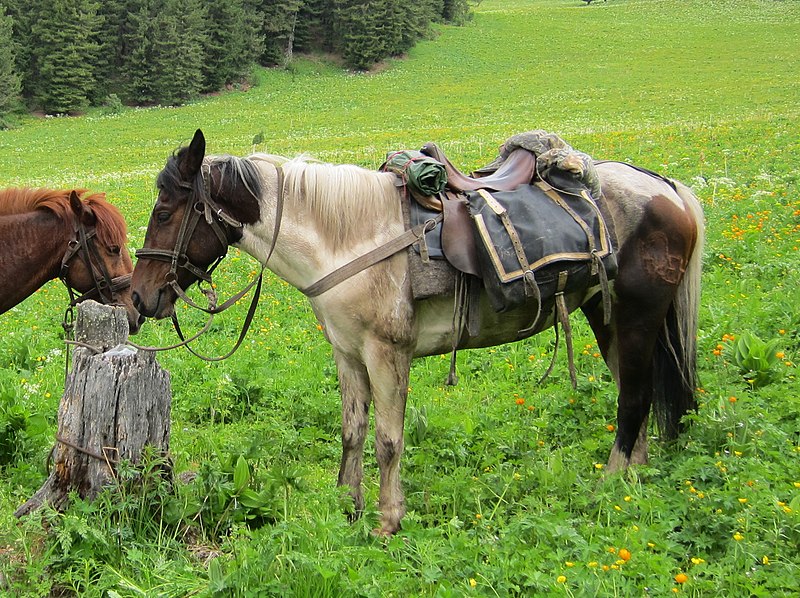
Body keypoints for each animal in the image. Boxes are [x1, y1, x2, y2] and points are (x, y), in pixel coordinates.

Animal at [130, 130, 700, 536]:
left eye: (165, 211)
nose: (138, 297)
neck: (350, 237)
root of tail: (666, 189)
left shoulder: (388, 353)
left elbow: (388, 439)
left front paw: (388, 519)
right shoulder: (347, 353)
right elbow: (353, 431)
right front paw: (348, 507)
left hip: (635, 316)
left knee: (633, 398)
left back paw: (611, 485)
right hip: (606, 316)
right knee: (636, 392)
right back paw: (633, 478)